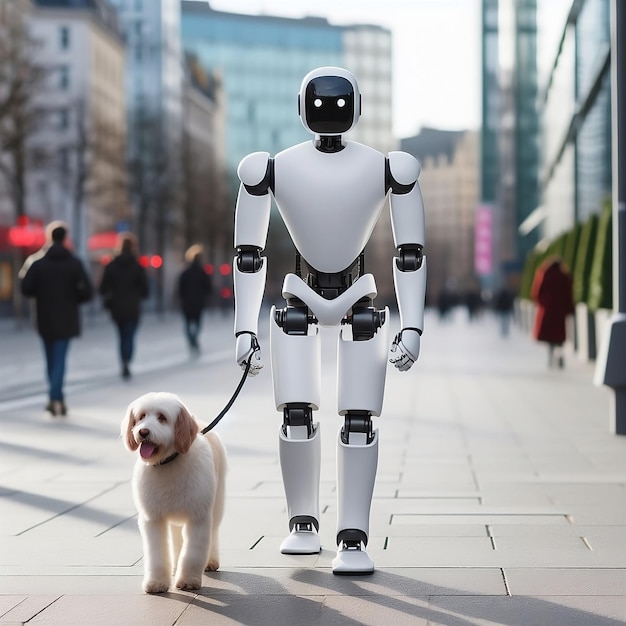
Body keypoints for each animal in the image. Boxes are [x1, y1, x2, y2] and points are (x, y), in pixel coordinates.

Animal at [120, 392, 225, 592]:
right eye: (141, 417)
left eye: (162, 417)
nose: (143, 432)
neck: (168, 463)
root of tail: (199, 423)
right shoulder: (153, 518)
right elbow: (157, 553)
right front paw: (156, 582)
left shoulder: (198, 517)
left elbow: (192, 552)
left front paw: (189, 580)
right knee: (177, 540)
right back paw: (176, 564)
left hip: (216, 504)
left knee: (214, 532)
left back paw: (211, 561)